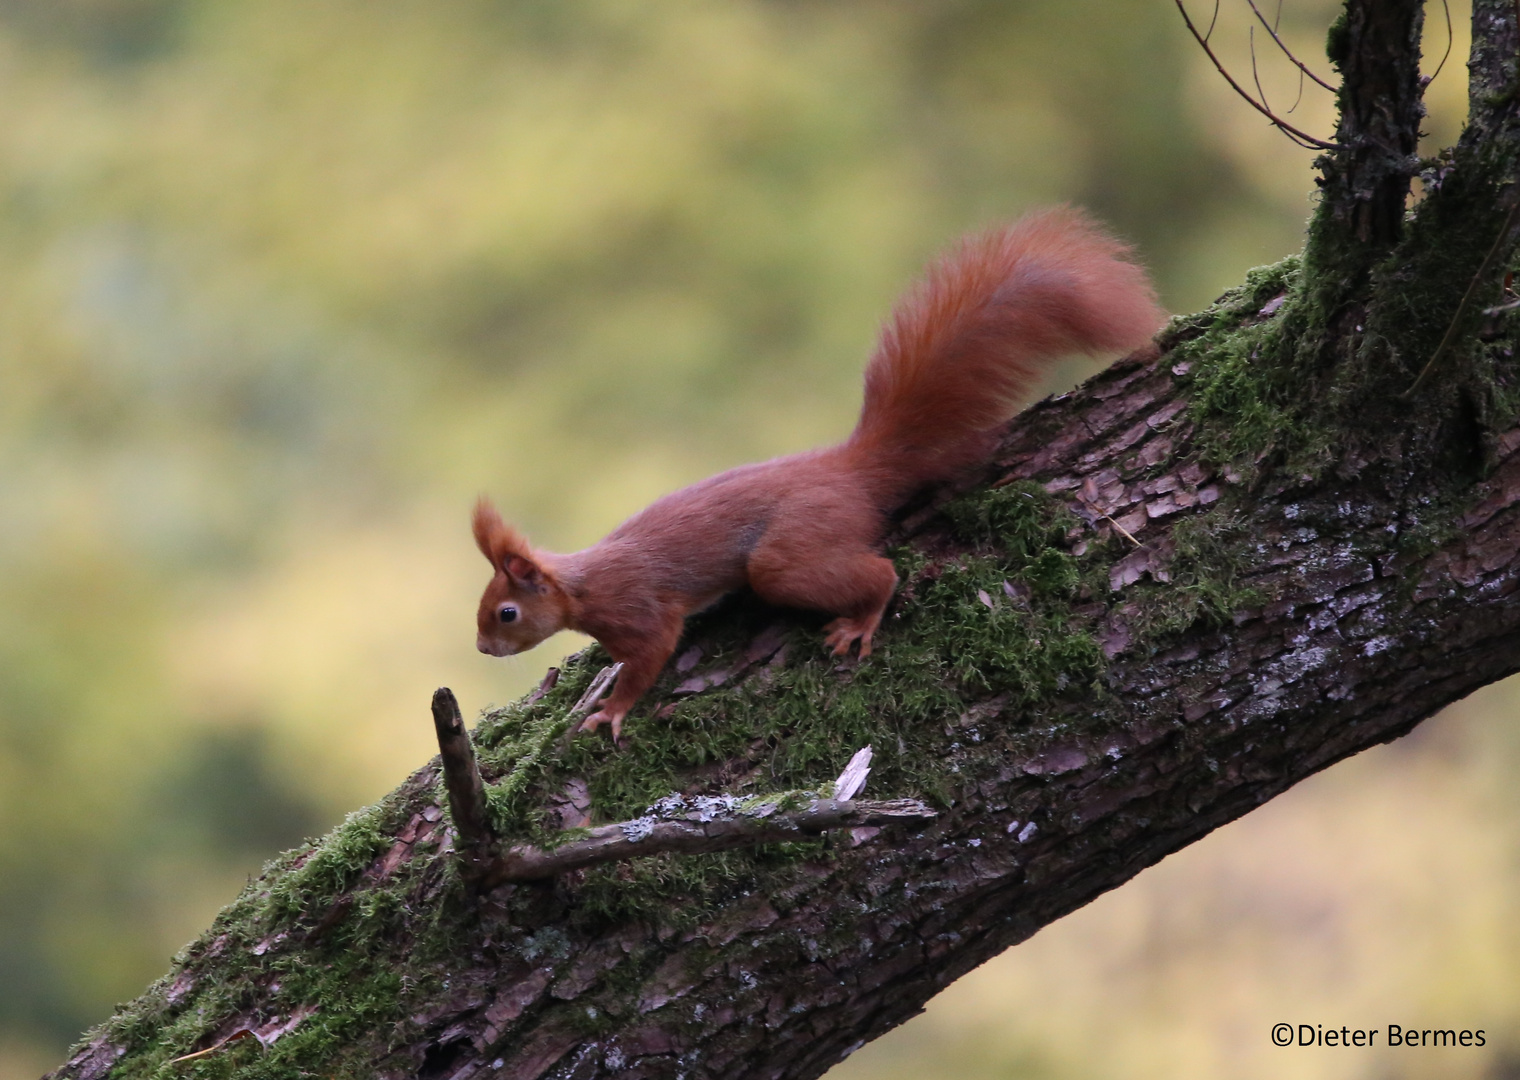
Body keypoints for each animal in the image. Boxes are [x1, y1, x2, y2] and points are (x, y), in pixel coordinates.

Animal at [474, 205, 1161, 744]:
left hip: (790, 554)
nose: (481, 649)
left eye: (505, 613)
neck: (581, 587)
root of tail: (852, 469)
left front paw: (611, 711)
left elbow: (649, 658)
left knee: (878, 573)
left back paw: (861, 621)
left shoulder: (640, 612)